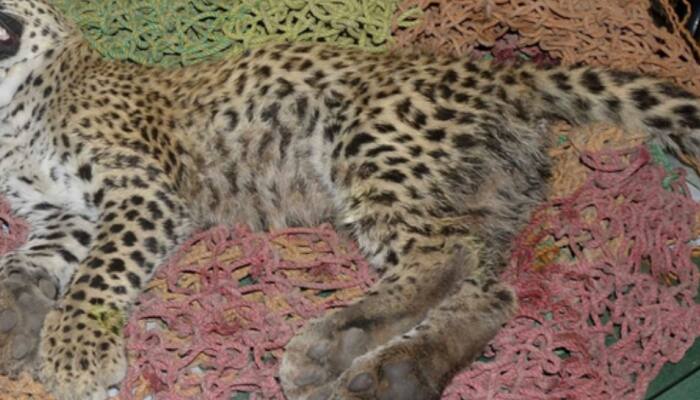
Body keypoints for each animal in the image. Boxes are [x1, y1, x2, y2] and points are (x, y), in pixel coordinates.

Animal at [0, 1, 698, 399]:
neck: (15, 113)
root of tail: (505, 74)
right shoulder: (63, 215)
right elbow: (27, 266)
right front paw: (14, 321)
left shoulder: (142, 189)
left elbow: (99, 274)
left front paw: (74, 354)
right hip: (476, 197)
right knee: (488, 290)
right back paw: (394, 375)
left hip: (374, 145)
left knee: (442, 258)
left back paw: (334, 343)